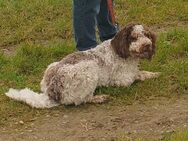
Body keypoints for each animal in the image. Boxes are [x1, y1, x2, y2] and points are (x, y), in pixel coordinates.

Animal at [5, 23, 159, 108]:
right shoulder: (122, 80)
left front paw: (155, 73)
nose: (147, 45)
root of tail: (51, 92)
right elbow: (137, 75)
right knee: (82, 99)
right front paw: (151, 74)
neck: (122, 53)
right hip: (89, 69)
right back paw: (99, 98)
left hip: (51, 66)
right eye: (134, 37)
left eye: (147, 35)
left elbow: (141, 72)